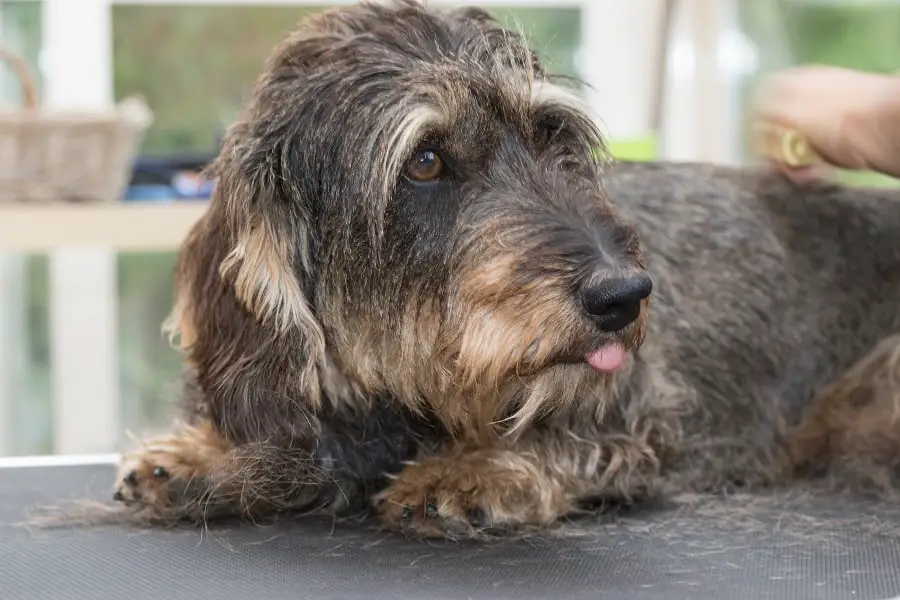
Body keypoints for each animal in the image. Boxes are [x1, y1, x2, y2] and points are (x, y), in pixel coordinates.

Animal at [110, 0, 900, 540]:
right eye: (426, 161)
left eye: (551, 135)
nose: (624, 295)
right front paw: (207, 455)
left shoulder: (637, 417)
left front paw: (479, 465)